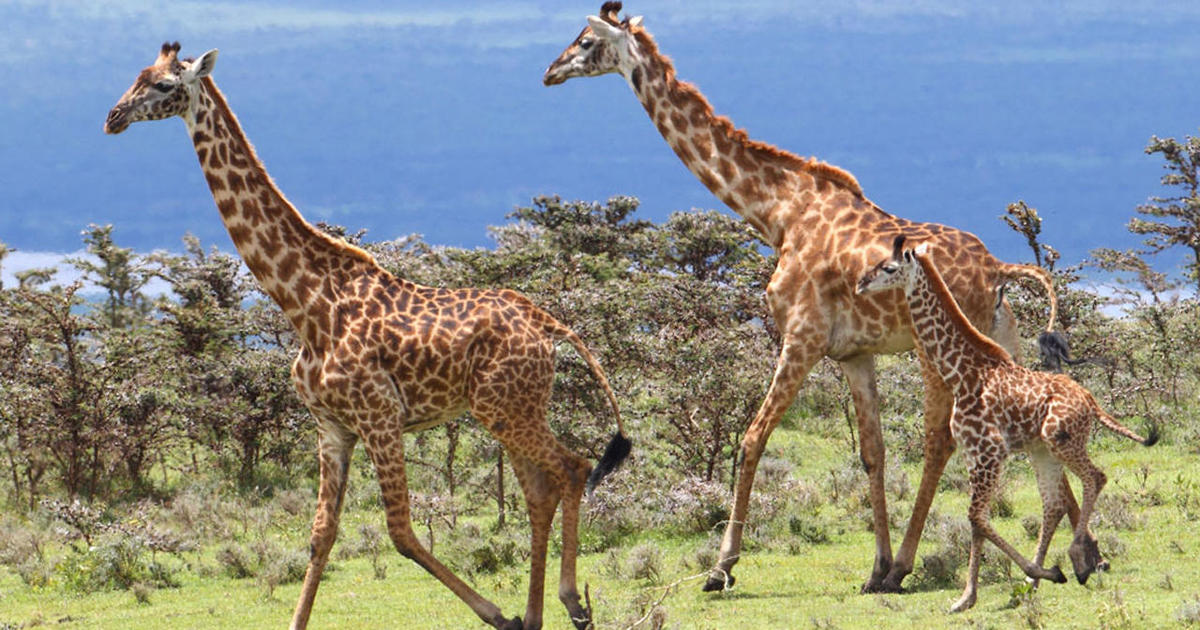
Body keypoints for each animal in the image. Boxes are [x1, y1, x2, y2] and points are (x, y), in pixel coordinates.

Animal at [104, 41, 633, 628]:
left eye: (162, 85)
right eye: (137, 76)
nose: (113, 117)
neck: (305, 302)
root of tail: (550, 325)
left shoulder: (379, 416)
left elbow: (401, 533)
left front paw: (498, 614)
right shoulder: (332, 427)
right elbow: (320, 536)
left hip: (506, 408)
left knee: (574, 467)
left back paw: (569, 602)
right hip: (509, 409)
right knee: (541, 489)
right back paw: (540, 614)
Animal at [540, 2, 1084, 592]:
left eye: (585, 40)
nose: (549, 72)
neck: (778, 212)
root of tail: (996, 271)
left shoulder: (800, 336)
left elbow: (752, 438)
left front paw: (722, 566)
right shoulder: (853, 354)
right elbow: (872, 453)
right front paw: (874, 567)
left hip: (936, 351)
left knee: (940, 439)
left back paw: (913, 565)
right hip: (1004, 342)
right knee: (1033, 424)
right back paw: (1079, 553)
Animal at [859, 234, 1156, 609]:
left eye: (888, 267)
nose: (860, 283)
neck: (962, 372)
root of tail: (1091, 402)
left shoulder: (988, 450)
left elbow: (976, 517)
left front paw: (1042, 574)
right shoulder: (973, 452)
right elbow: (977, 522)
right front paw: (967, 597)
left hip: (1061, 440)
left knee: (1095, 478)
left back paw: (1074, 561)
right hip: (1042, 451)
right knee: (1053, 504)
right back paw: (1035, 580)